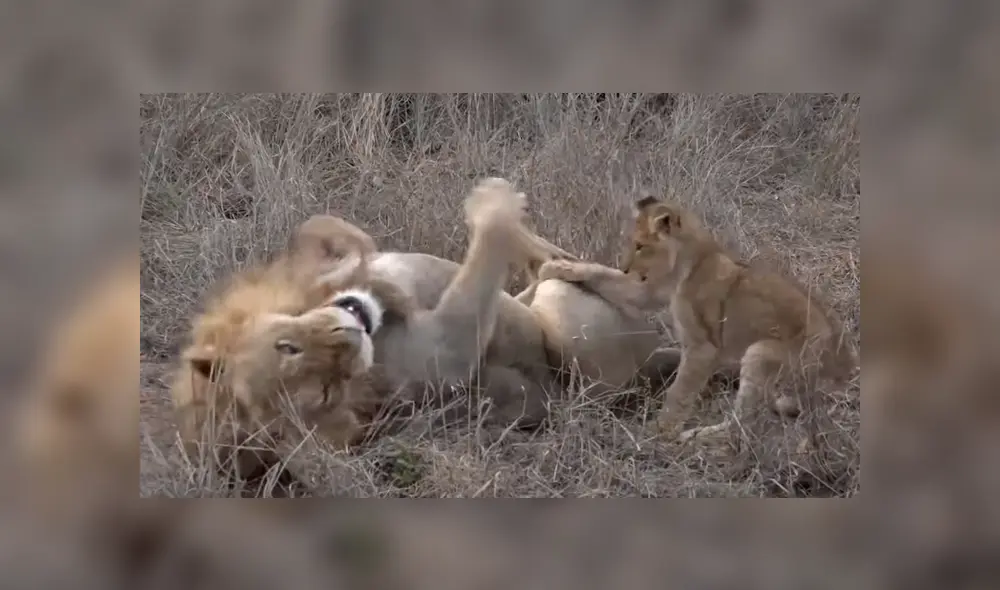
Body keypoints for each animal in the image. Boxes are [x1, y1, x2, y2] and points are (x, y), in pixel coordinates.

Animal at [538, 195, 857, 444]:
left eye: (640, 245)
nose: (626, 267)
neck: (683, 263)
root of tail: (845, 376)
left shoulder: (703, 347)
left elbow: (679, 391)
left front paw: (659, 431)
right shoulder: (648, 291)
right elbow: (601, 273)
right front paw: (557, 267)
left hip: (763, 351)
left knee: (746, 426)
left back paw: (692, 437)